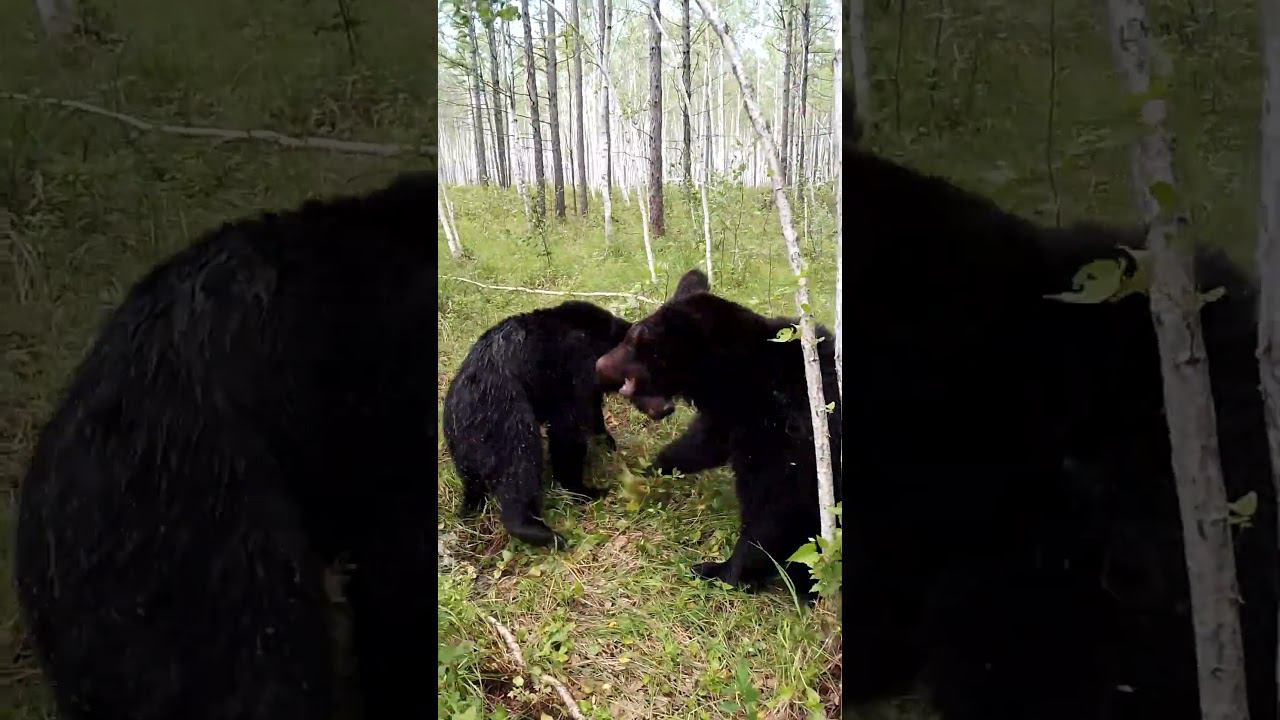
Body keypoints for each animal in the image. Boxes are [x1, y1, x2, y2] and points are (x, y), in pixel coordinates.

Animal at [442, 300, 676, 550]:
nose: (668, 408)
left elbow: (592, 412)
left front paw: (607, 442)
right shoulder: (572, 366)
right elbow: (568, 428)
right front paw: (585, 489)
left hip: (464, 447)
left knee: (473, 481)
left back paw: (470, 508)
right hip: (503, 417)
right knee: (519, 464)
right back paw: (541, 531)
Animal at [595, 269, 842, 598]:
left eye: (638, 338)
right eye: (631, 335)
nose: (601, 365)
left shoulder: (792, 433)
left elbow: (776, 507)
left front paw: (720, 571)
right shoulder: (732, 418)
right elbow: (700, 444)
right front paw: (649, 470)